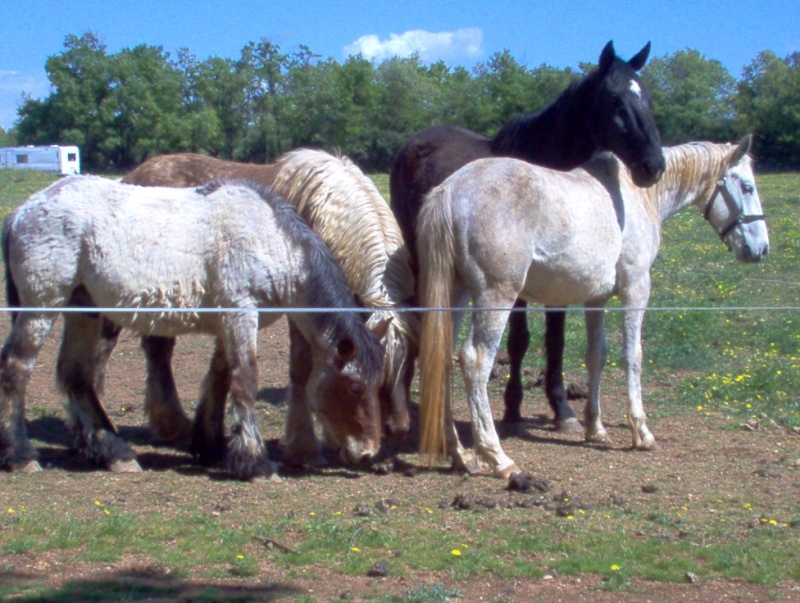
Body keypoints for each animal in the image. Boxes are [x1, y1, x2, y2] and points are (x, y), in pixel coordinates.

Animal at [0, 176, 388, 482]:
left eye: (376, 387)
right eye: (354, 387)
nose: (369, 452)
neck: (269, 238)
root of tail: (22, 211)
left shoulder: (229, 322)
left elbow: (221, 378)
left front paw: (210, 445)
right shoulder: (241, 314)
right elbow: (246, 379)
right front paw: (256, 463)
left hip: (83, 311)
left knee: (75, 374)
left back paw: (114, 453)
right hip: (41, 309)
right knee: (16, 371)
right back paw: (21, 455)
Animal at [390, 39, 664, 434]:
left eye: (648, 97)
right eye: (615, 101)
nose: (653, 166)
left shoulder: (561, 278)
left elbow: (555, 339)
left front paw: (563, 410)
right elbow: (519, 341)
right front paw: (512, 409)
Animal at [416, 138, 764, 482]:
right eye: (747, 187)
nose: (760, 249)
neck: (637, 195)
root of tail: (450, 191)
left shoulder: (596, 299)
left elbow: (597, 355)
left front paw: (595, 429)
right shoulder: (636, 287)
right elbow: (632, 355)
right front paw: (641, 431)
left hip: (456, 293)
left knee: (441, 356)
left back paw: (459, 453)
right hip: (496, 294)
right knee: (475, 361)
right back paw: (497, 457)